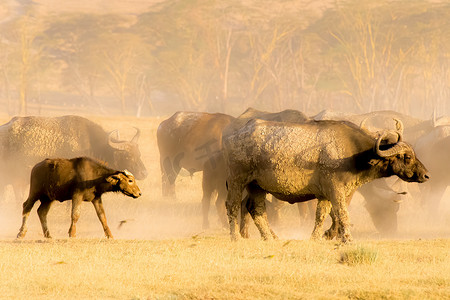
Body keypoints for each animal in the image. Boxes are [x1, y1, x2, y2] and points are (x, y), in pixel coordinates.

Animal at [225, 118, 428, 243]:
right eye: (407, 157)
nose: (426, 175)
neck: (354, 153)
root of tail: (233, 135)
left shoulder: (325, 194)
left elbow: (321, 215)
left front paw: (316, 237)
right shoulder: (336, 190)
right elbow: (342, 214)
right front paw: (347, 239)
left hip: (257, 186)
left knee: (256, 209)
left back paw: (270, 237)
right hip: (237, 180)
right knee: (233, 205)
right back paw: (236, 237)